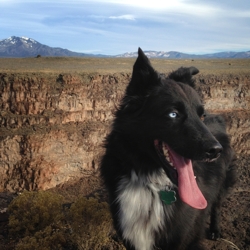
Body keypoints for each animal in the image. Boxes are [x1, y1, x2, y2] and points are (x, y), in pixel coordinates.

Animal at [100, 47, 236, 249]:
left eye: (201, 115)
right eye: (173, 114)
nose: (215, 151)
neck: (150, 182)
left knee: (216, 205)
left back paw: (215, 229)